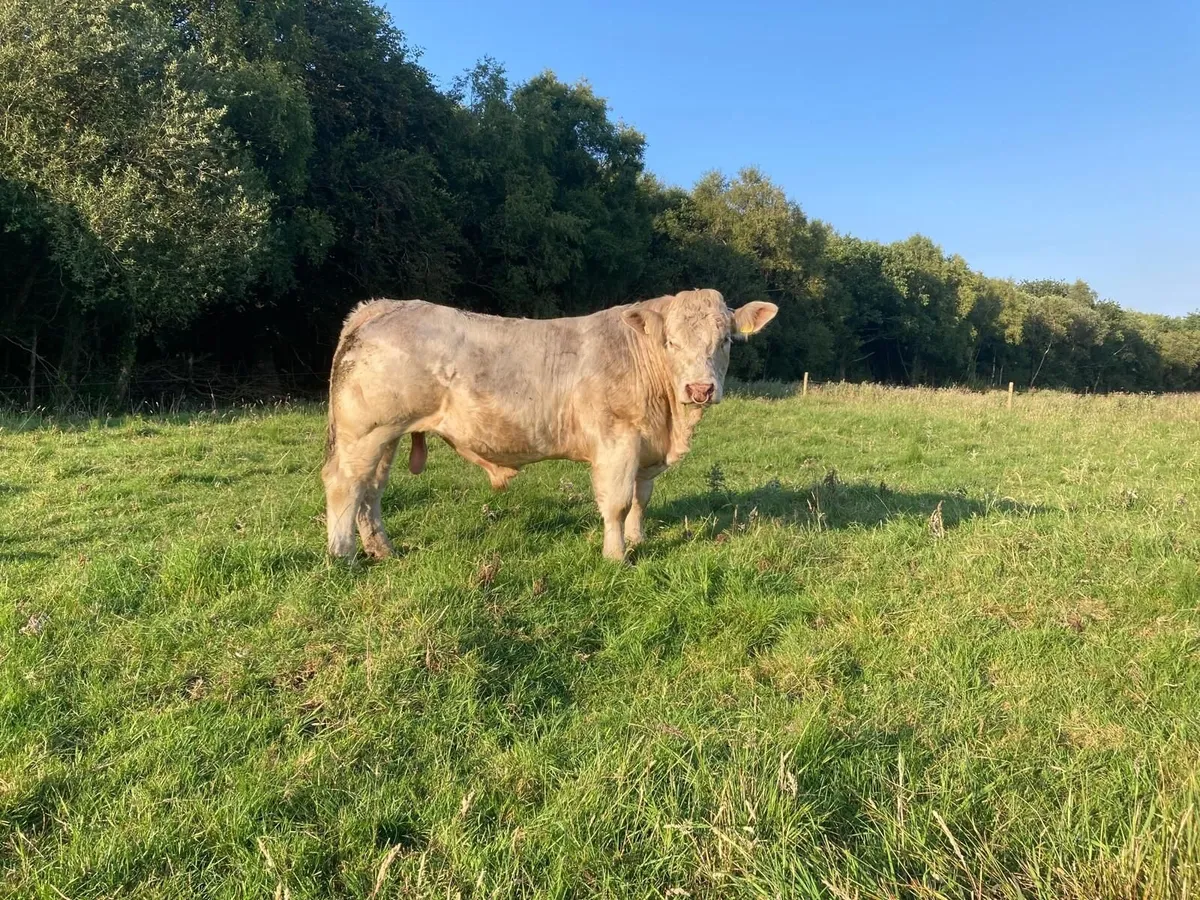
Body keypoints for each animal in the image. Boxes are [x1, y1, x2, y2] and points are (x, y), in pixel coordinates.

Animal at [321, 289, 777, 562]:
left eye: (726, 341)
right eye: (671, 342)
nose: (700, 389)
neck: (670, 422)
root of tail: (383, 305)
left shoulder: (647, 449)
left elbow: (641, 500)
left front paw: (638, 541)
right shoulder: (617, 441)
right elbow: (617, 503)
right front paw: (616, 556)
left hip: (387, 435)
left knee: (371, 490)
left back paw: (382, 549)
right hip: (365, 431)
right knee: (345, 483)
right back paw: (343, 554)